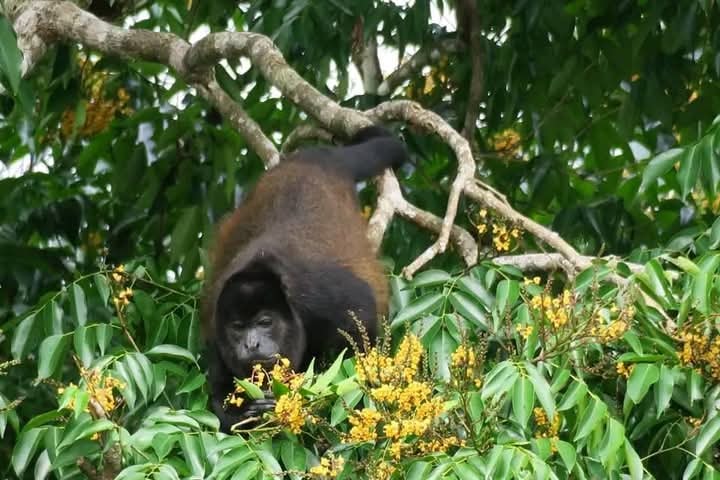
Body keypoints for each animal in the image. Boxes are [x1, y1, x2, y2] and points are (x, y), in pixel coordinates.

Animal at [201, 125, 409, 432]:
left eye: (265, 322)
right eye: (238, 327)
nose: (251, 344)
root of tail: (319, 159)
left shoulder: (316, 293)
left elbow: (363, 312)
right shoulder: (216, 320)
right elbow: (218, 398)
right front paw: (248, 411)